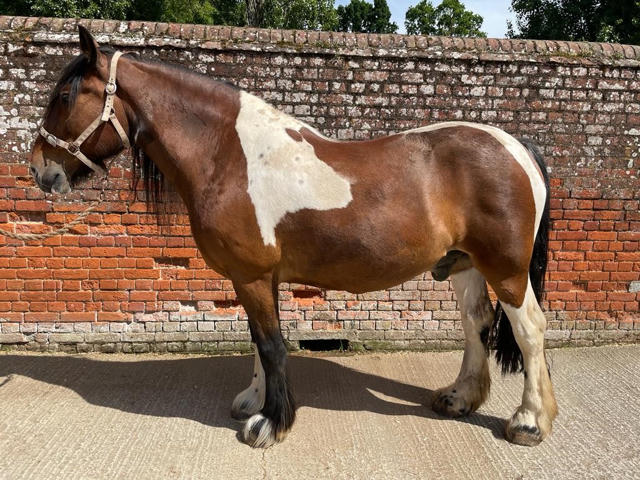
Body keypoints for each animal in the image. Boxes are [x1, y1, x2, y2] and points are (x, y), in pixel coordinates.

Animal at [29, 26, 557, 449]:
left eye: (65, 96)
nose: (38, 169)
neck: (228, 154)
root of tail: (516, 146)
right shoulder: (256, 277)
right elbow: (260, 340)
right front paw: (254, 400)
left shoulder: (252, 275)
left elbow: (271, 345)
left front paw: (269, 424)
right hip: (465, 264)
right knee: (476, 323)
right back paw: (458, 397)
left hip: (505, 269)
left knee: (529, 328)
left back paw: (529, 422)